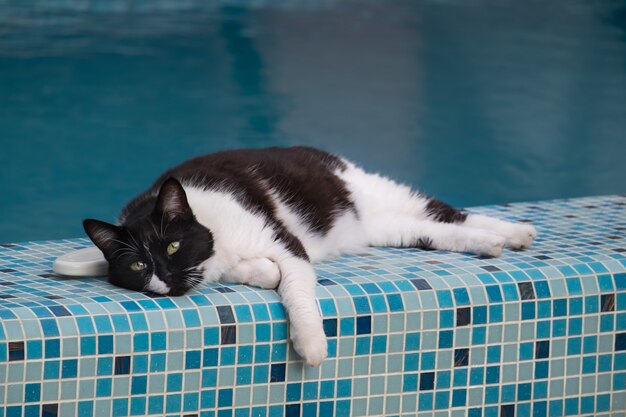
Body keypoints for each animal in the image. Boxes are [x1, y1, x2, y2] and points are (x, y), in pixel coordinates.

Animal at [83, 145, 536, 364]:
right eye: (139, 265)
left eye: (172, 246)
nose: (161, 281)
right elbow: (263, 273)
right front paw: (259, 272)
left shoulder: (285, 244)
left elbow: (296, 290)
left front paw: (312, 345)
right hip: (391, 229)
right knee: (438, 230)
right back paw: (491, 242)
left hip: (376, 189)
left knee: (447, 211)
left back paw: (516, 231)